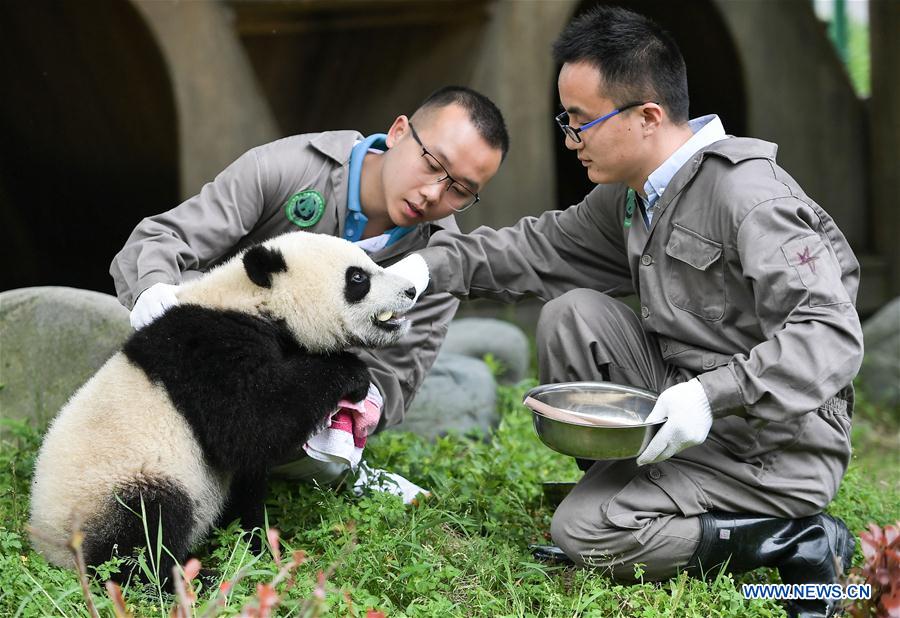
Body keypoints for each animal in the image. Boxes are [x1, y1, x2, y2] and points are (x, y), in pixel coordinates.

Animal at [29, 230, 418, 584]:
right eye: (358, 278)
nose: (411, 290)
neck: (251, 300)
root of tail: (50, 549)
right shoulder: (208, 350)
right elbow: (250, 424)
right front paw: (352, 373)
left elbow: (247, 472)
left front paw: (258, 544)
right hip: (111, 486)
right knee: (142, 527)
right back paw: (188, 580)